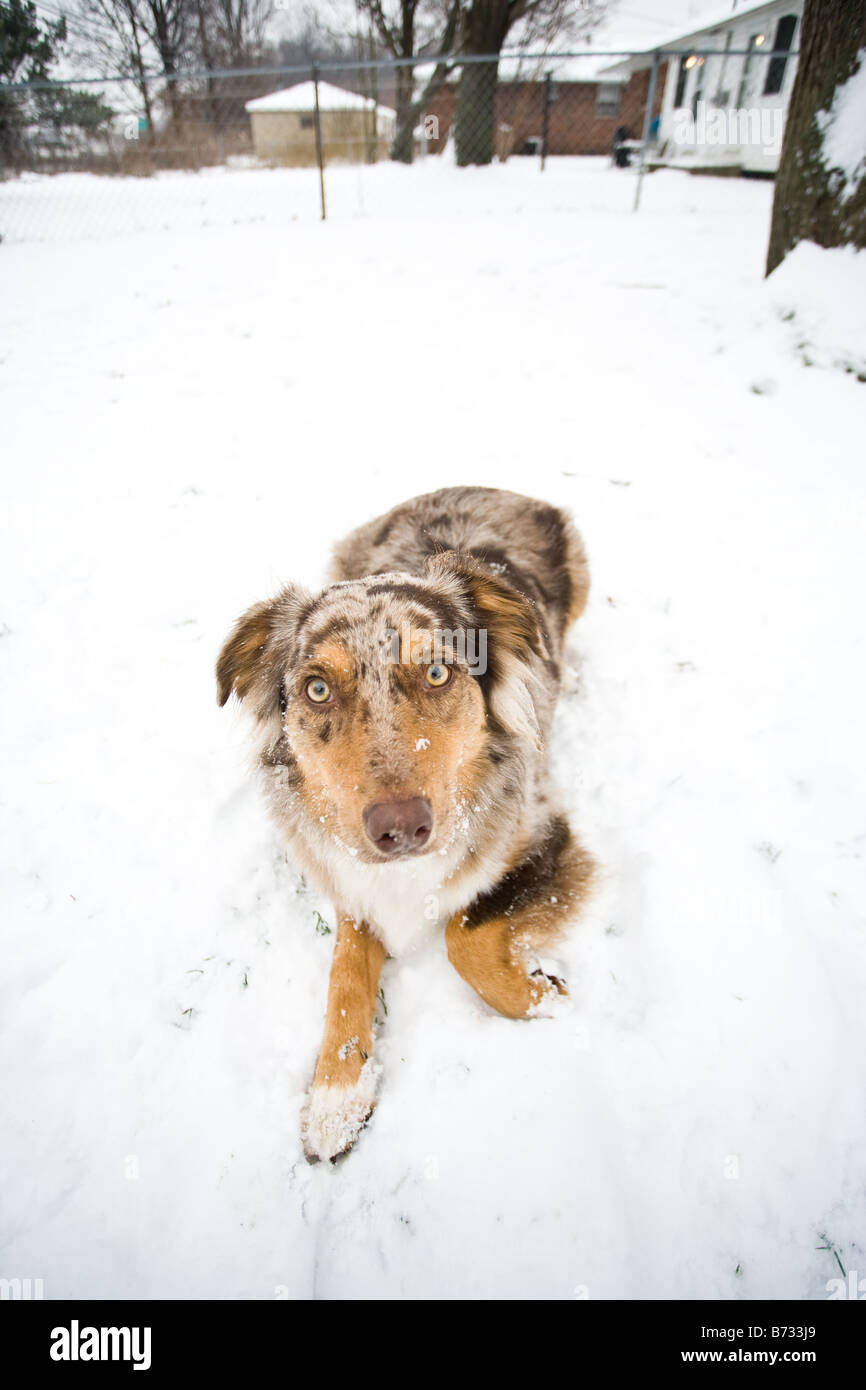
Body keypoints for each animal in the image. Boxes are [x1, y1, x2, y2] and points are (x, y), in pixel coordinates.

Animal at [216, 489, 594, 1162]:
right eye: (317, 689)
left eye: (438, 673)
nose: (401, 830)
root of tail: (478, 486)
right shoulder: (350, 880)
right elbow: (343, 972)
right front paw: (336, 1093)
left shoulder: (547, 835)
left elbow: (465, 939)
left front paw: (544, 998)